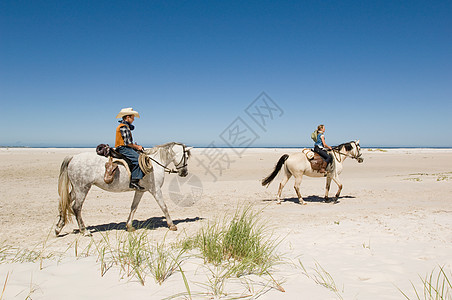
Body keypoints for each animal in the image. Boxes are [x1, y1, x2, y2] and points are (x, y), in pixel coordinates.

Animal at [54, 142, 191, 236]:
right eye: (186, 156)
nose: (184, 173)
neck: (155, 163)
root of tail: (73, 157)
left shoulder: (140, 190)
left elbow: (133, 207)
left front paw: (129, 226)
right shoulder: (156, 190)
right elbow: (164, 207)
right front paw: (172, 225)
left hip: (76, 189)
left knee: (64, 203)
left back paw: (58, 228)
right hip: (82, 188)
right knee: (76, 207)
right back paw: (84, 231)